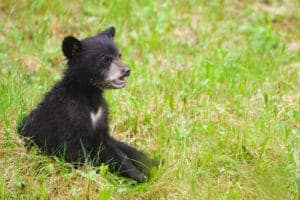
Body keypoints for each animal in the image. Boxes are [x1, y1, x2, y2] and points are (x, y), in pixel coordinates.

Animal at [17, 27, 157, 183]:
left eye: (119, 55)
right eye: (105, 59)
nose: (127, 70)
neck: (89, 96)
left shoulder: (101, 119)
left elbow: (111, 150)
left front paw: (139, 175)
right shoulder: (67, 117)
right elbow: (75, 152)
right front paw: (96, 175)